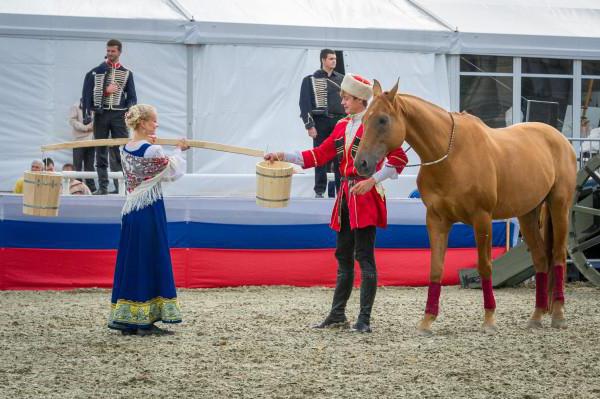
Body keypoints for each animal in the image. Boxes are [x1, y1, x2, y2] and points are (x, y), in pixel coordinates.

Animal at [356, 80, 576, 334]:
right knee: (541, 259)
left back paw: (558, 315)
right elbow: (436, 268)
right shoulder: (436, 220)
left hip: (559, 206)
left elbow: (484, 267)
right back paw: (537, 316)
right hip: (527, 215)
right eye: (364, 119)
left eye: (383, 120)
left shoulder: (482, 219)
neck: (450, 154)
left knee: (558, 257)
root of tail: (559, 138)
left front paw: (489, 319)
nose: (361, 163)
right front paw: (427, 320)